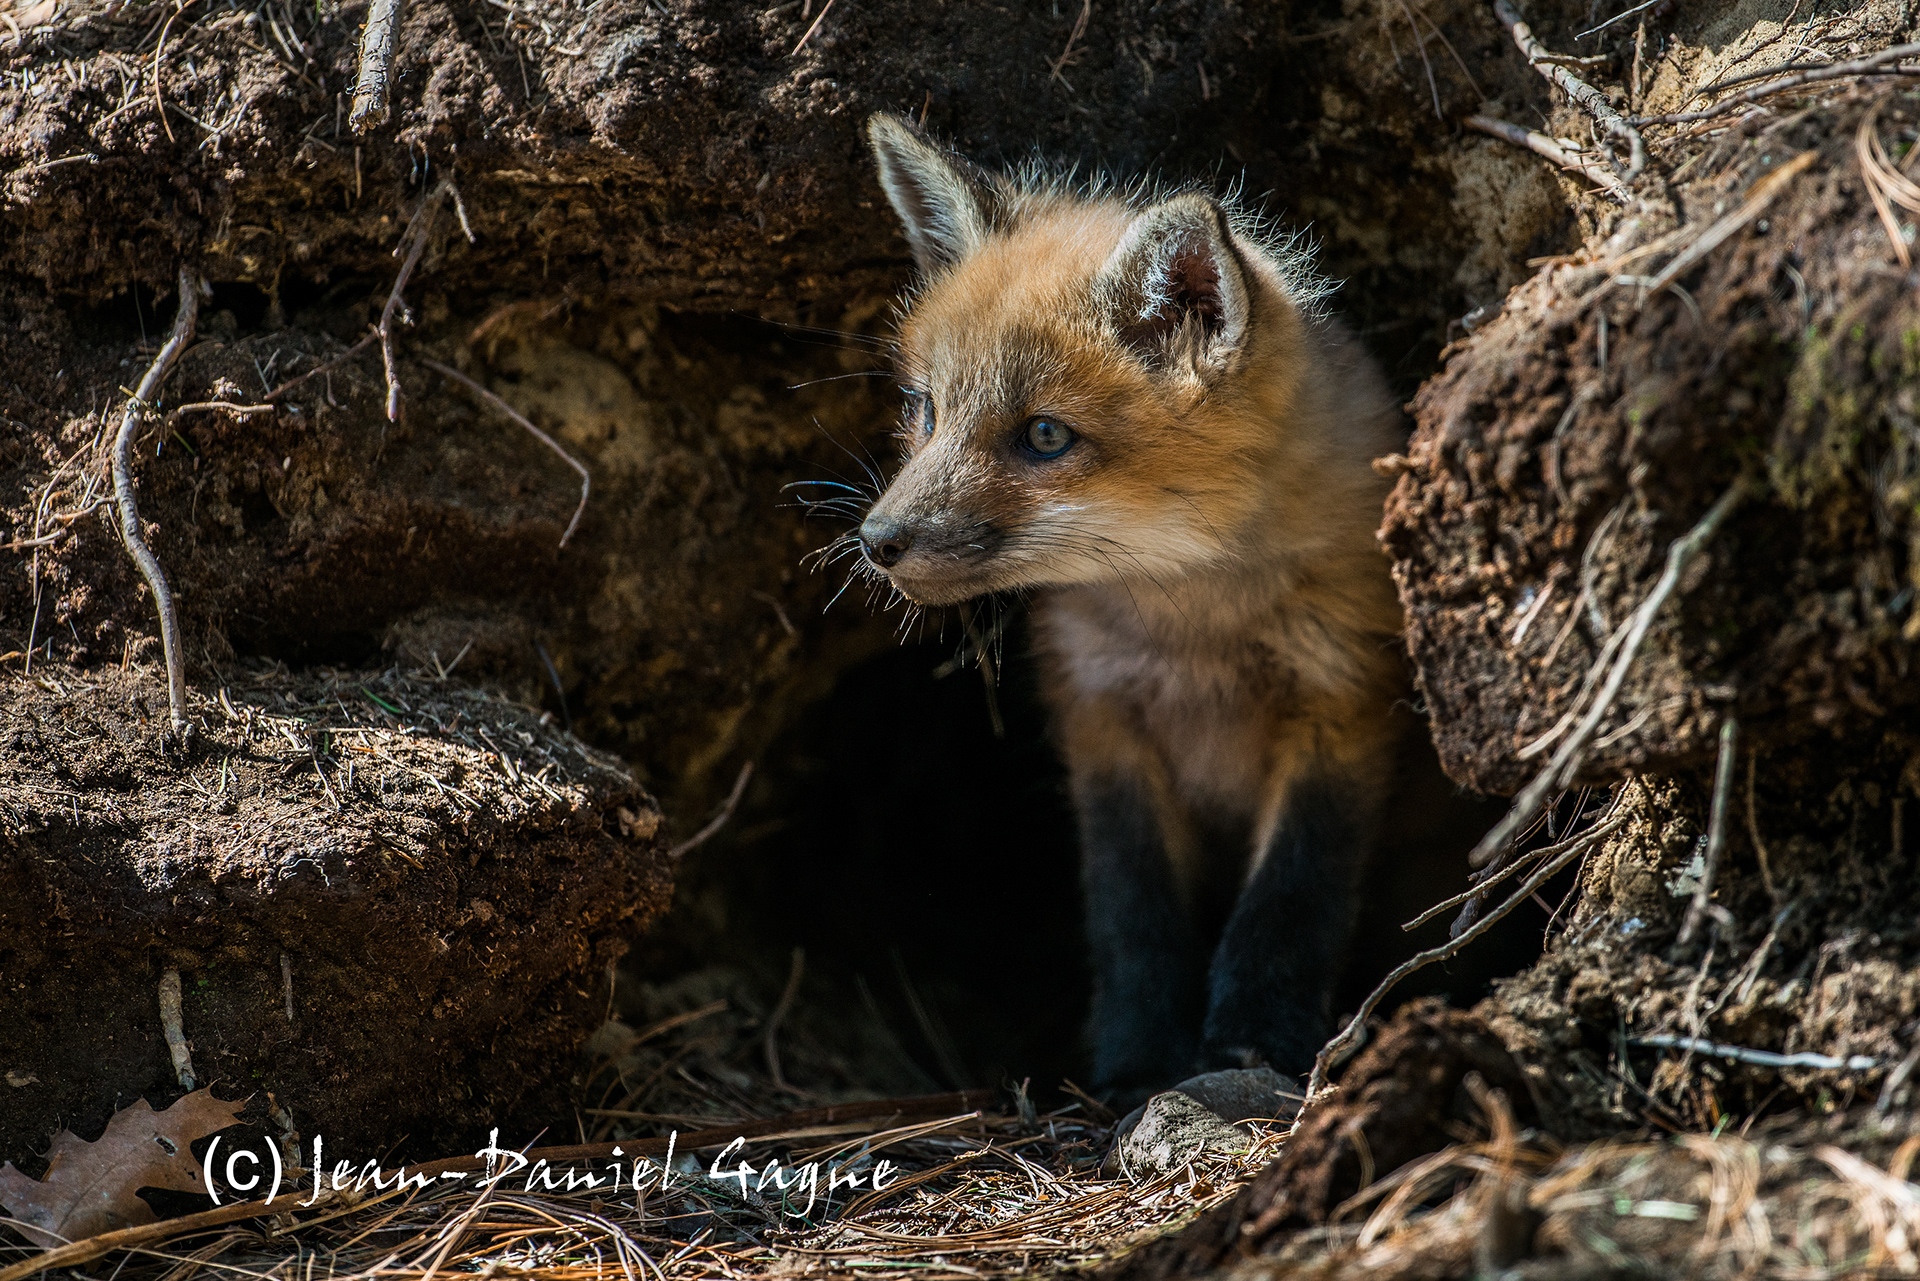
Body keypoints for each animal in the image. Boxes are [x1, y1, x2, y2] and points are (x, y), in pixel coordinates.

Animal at [850, 115, 1446, 1102]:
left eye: (1043, 435)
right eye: (924, 411)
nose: (876, 540)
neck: (1191, 632)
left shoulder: (1343, 703)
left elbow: (1294, 894)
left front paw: (1255, 1040)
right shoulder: (1102, 720)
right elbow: (1132, 913)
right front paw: (1139, 1062)